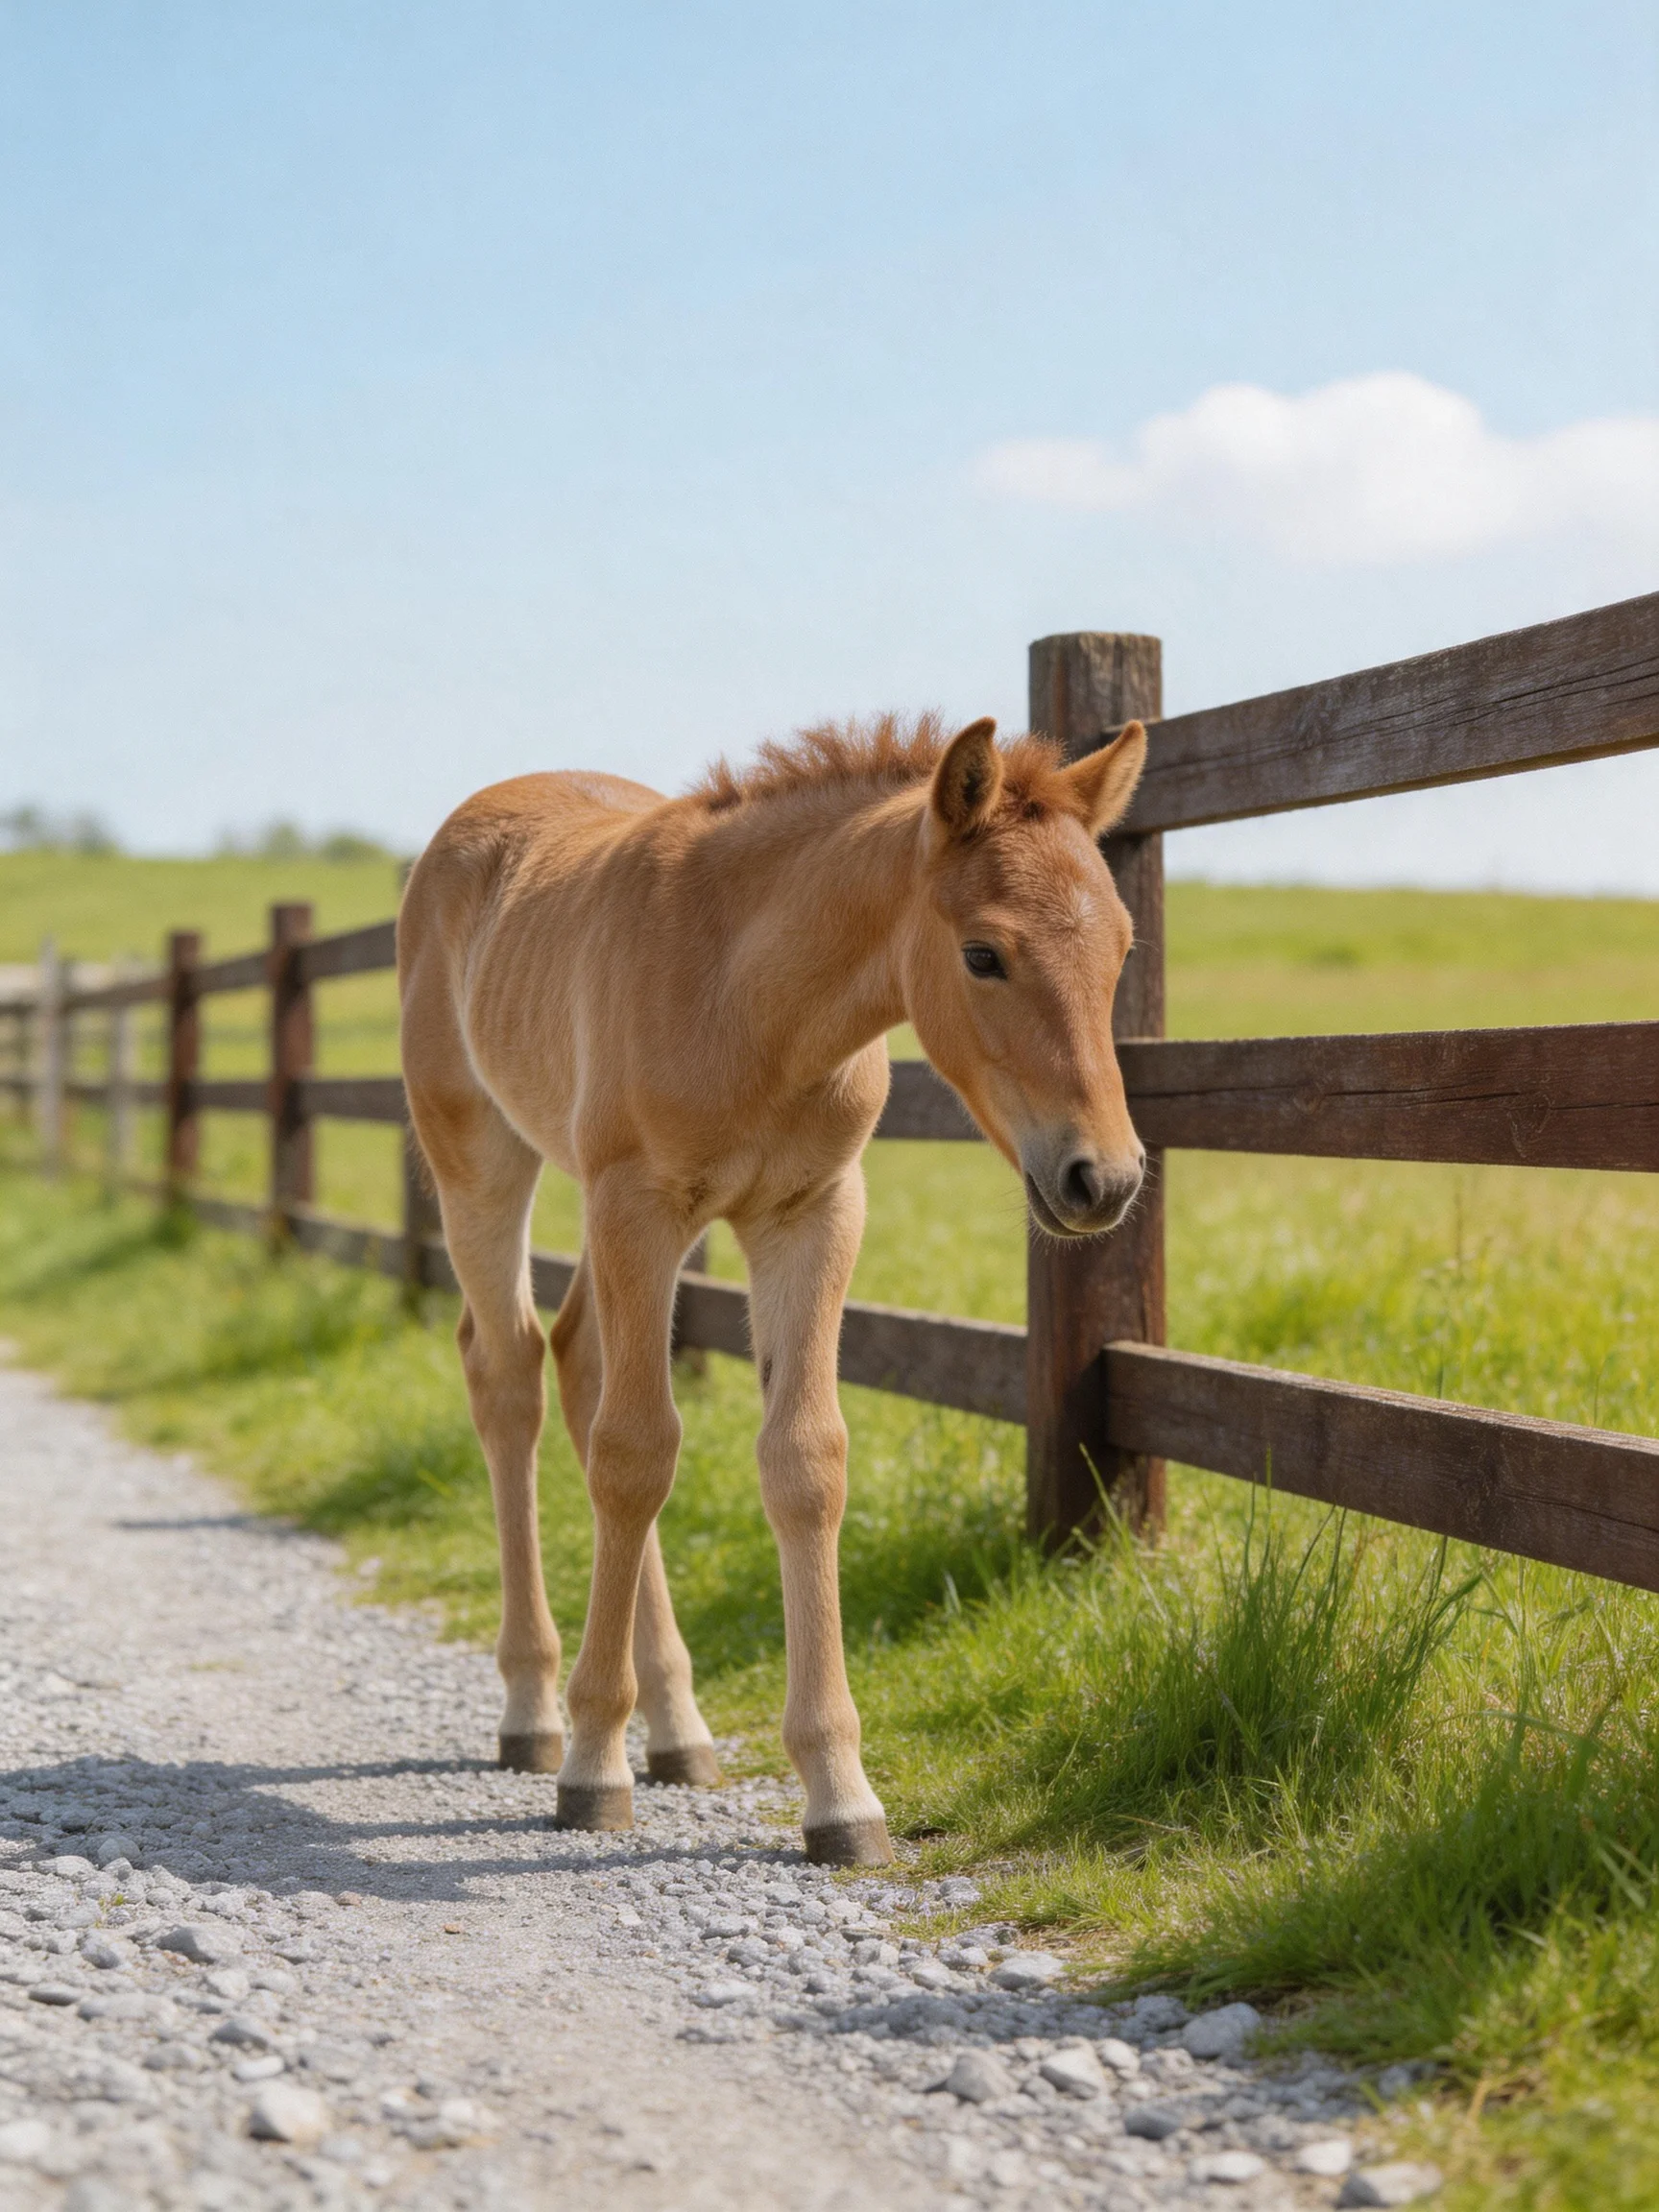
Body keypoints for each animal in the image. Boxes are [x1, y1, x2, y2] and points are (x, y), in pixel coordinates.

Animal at [396, 710, 1148, 1866]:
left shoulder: (814, 1213)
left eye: (1121, 946)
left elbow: (805, 1462)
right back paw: (534, 1711)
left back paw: (679, 1728)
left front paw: (841, 1794)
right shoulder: (640, 1205)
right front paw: (593, 1765)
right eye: (984, 953)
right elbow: (636, 1456)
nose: (1100, 1180)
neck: (752, 1000)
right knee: (511, 1376)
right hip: (482, 1158)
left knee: (576, 1360)